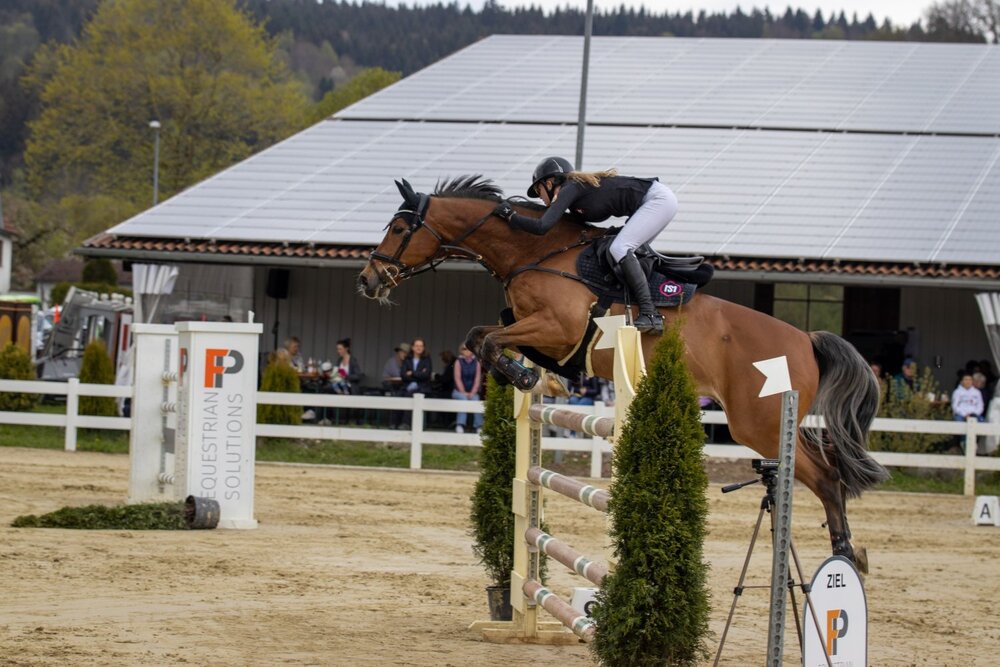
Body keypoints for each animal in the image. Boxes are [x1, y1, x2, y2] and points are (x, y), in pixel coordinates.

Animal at [357, 175, 889, 571]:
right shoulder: (537, 332)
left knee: (826, 477)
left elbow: (488, 341)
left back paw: (846, 555)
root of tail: (805, 340)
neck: (535, 253)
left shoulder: (557, 328)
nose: (367, 280)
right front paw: (541, 379)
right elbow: (479, 336)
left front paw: (529, 379)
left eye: (398, 227)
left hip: (756, 421)